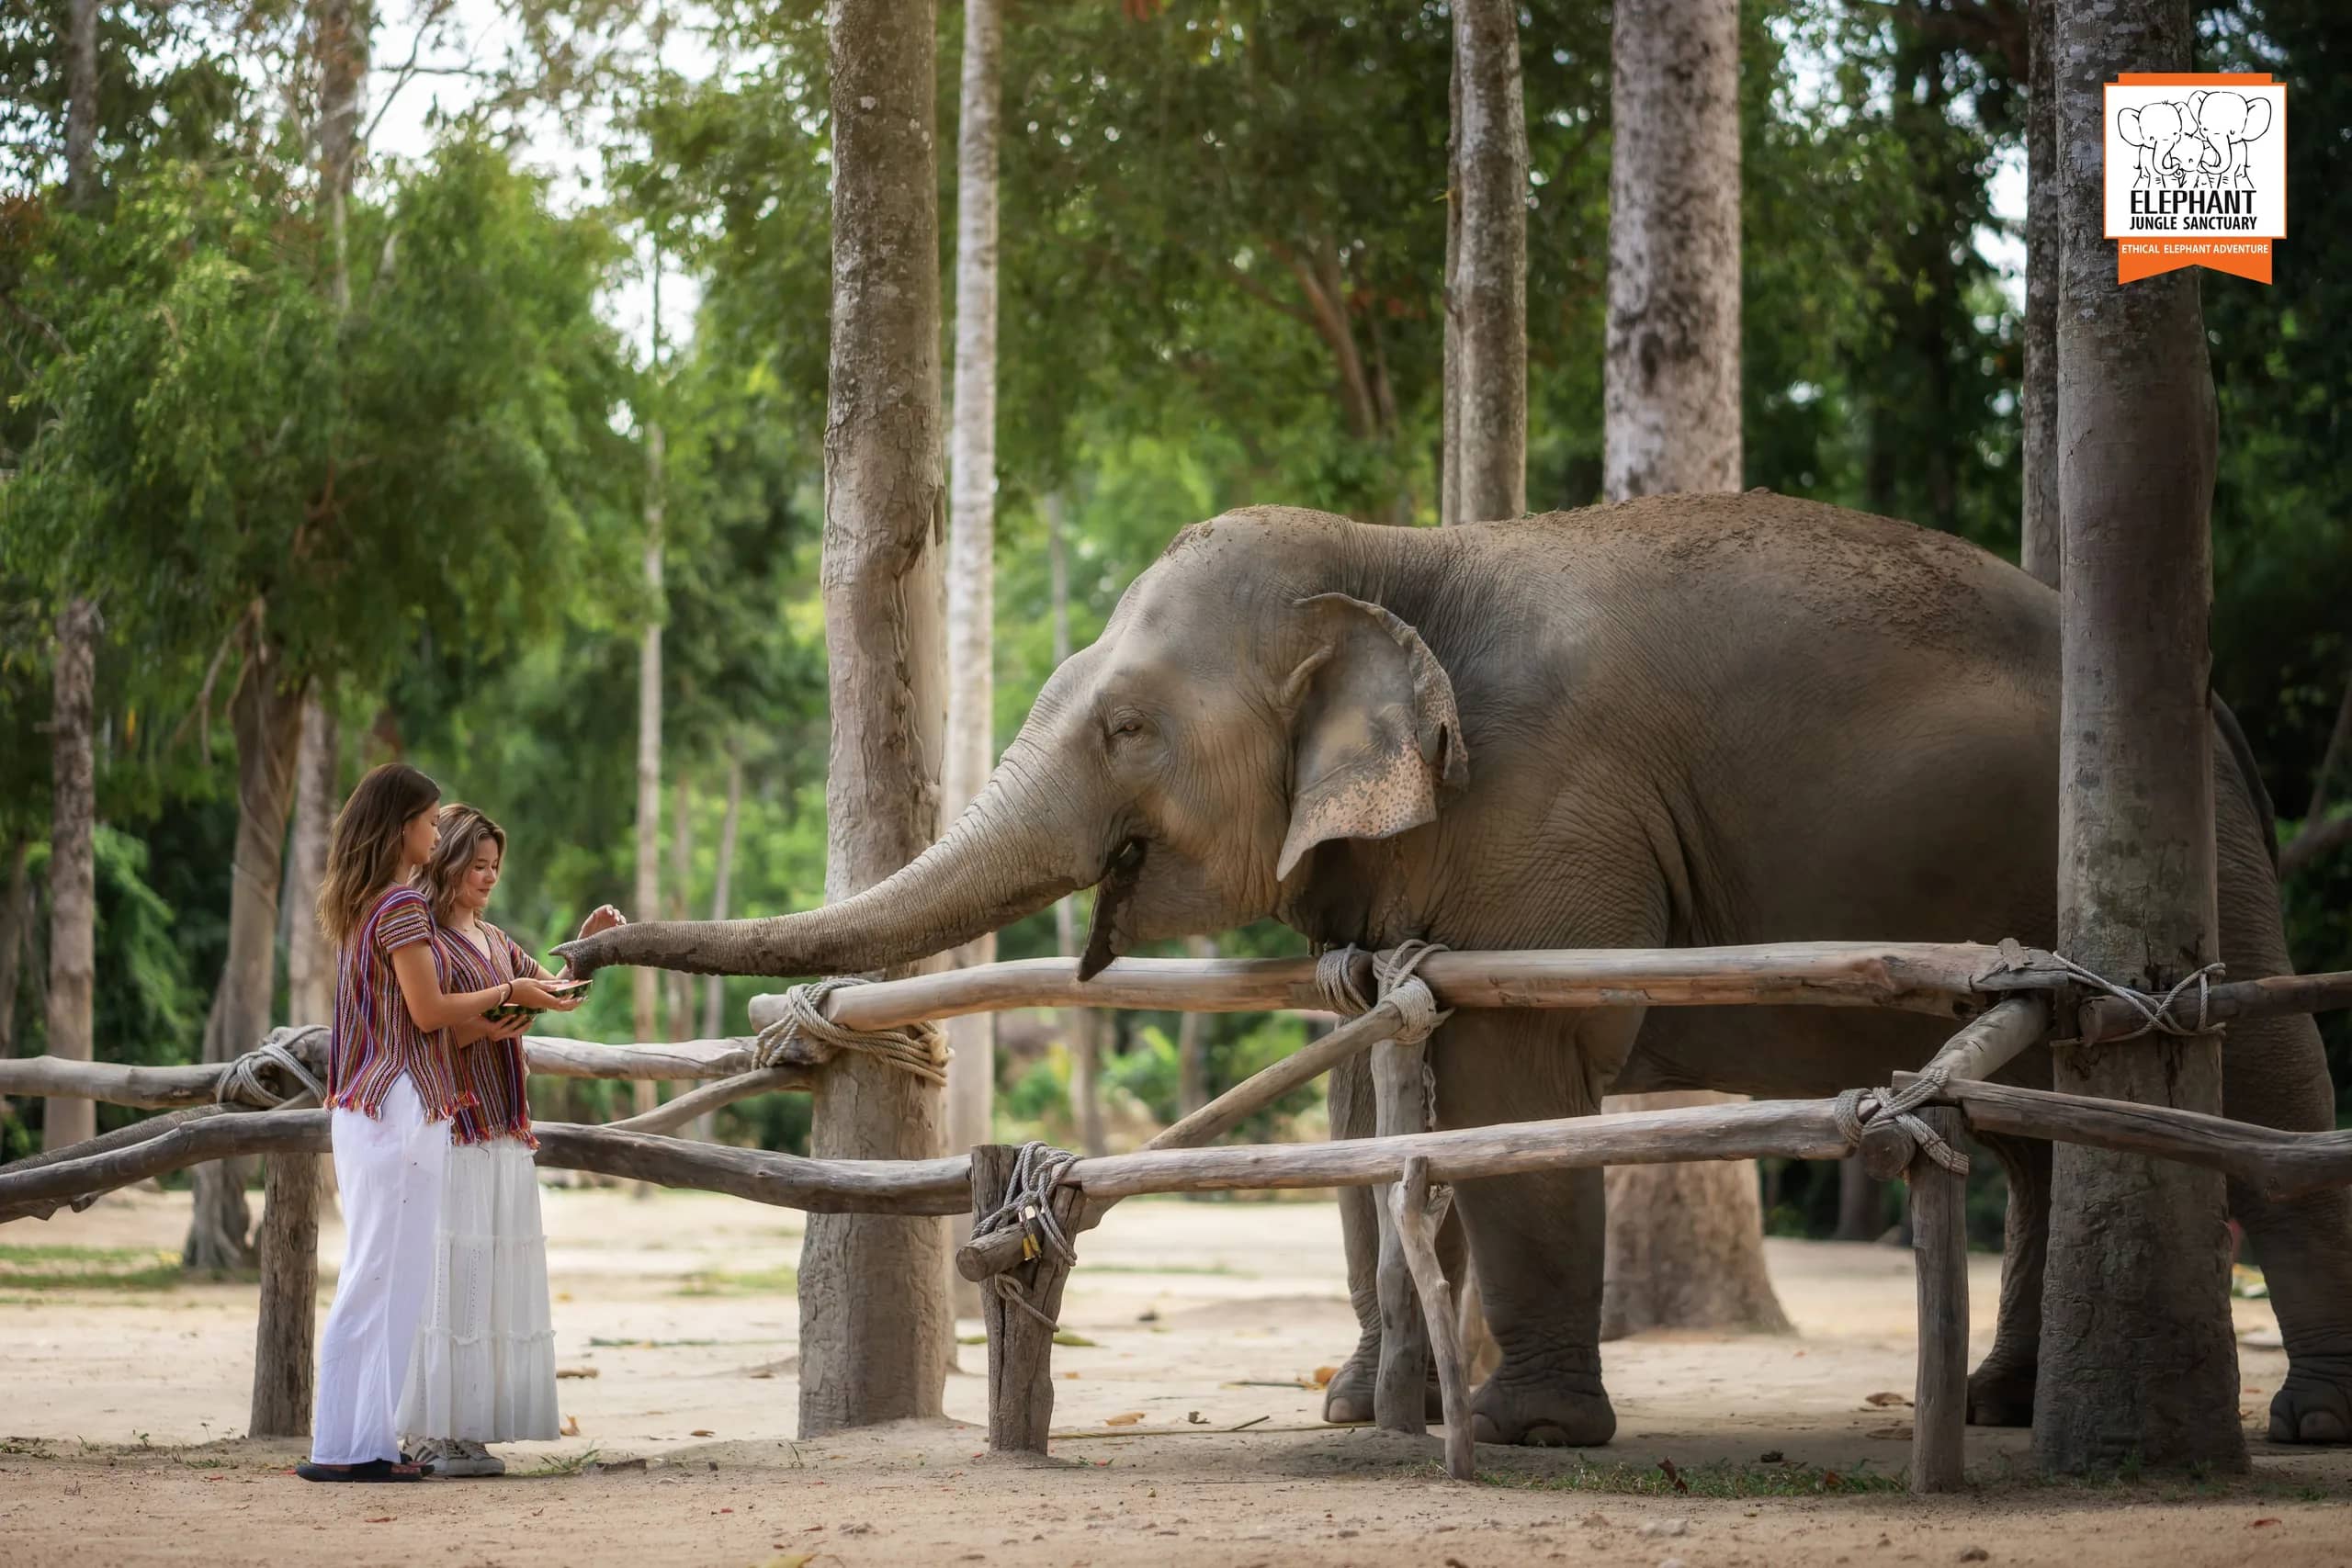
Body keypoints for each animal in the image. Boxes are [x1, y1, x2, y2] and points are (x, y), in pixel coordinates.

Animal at [560, 491, 2352, 1448]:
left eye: (1127, 726)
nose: (580, 932)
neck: (1406, 551)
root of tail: (2218, 708)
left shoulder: (1551, 807)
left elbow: (1522, 1068)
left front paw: (1521, 1433)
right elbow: (1376, 1074)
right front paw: (1365, 1413)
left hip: (2197, 853)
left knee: (2260, 1081)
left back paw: (2299, 1426)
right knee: (2050, 1117)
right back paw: (1996, 1407)